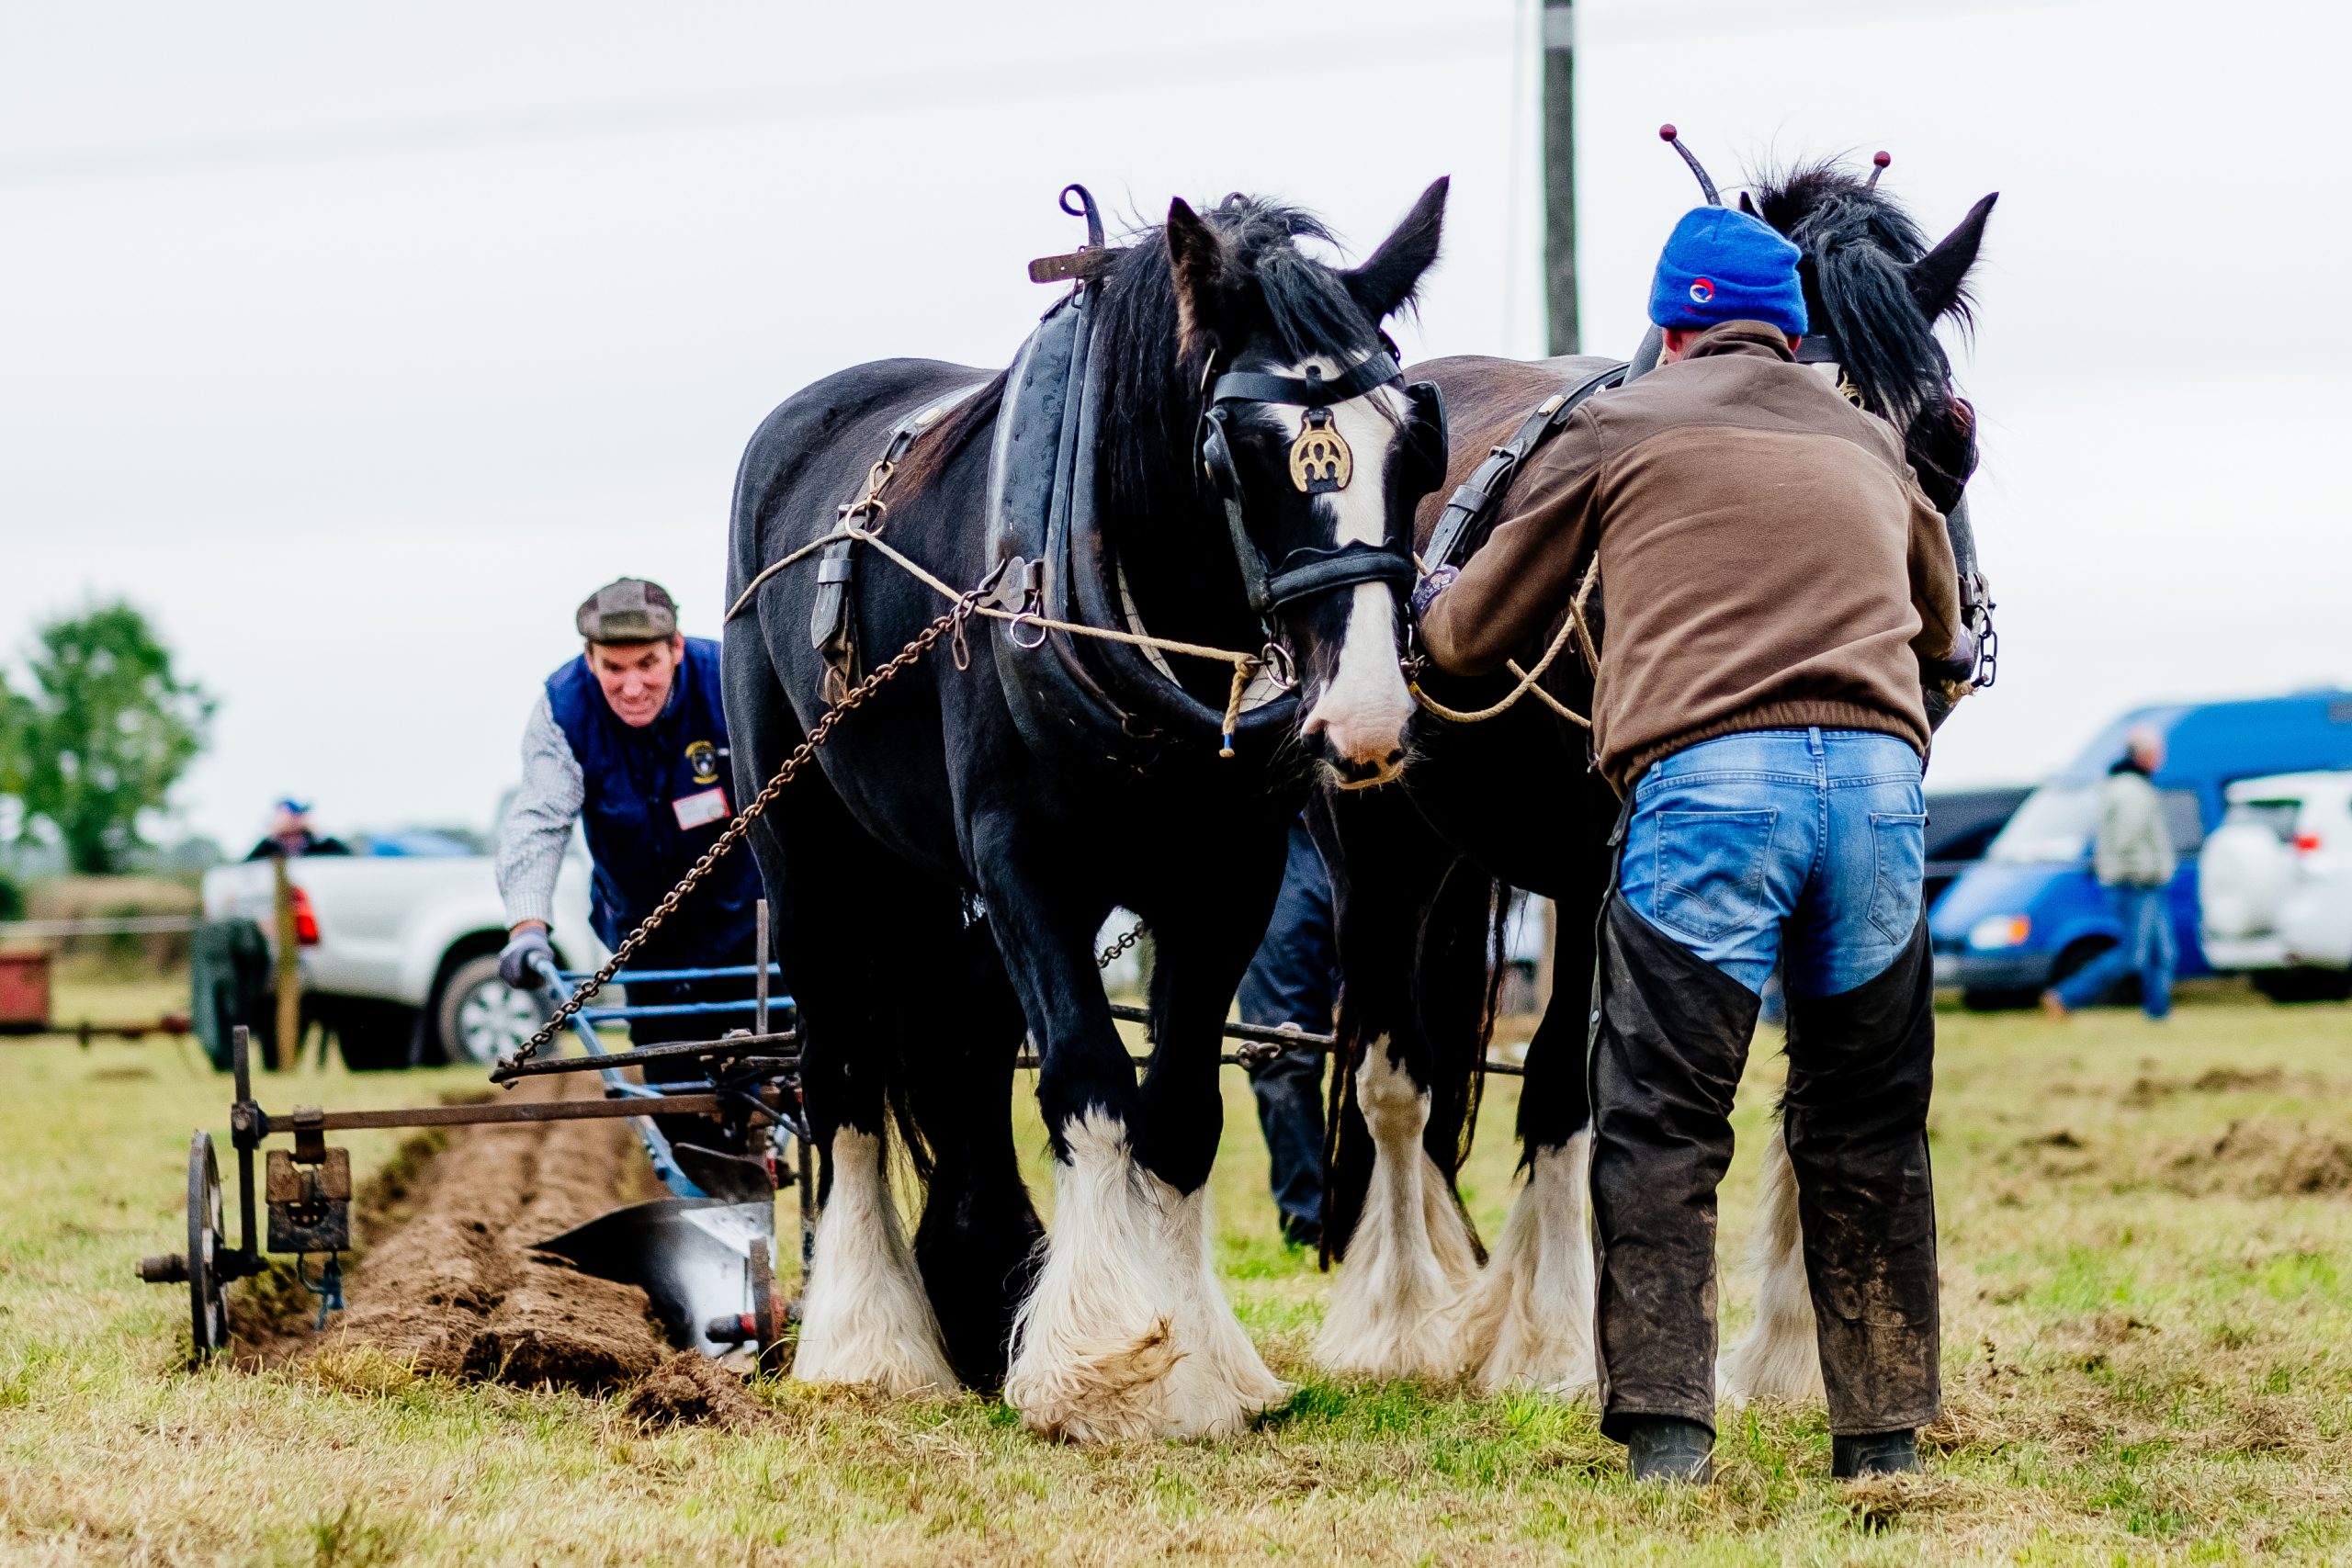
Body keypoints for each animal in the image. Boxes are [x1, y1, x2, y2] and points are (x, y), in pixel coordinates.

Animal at [715, 181, 1448, 1438]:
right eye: (1237, 452)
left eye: (1410, 437)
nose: (1362, 718)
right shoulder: (1023, 864)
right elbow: (1089, 1079)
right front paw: (1101, 1358)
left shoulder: (1227, 879)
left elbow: (1183, 1109)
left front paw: (1197, 1366)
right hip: (807, 857)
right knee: (841, 1071)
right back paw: (869, 1342)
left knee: (956, 1034)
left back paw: (972, 1285)